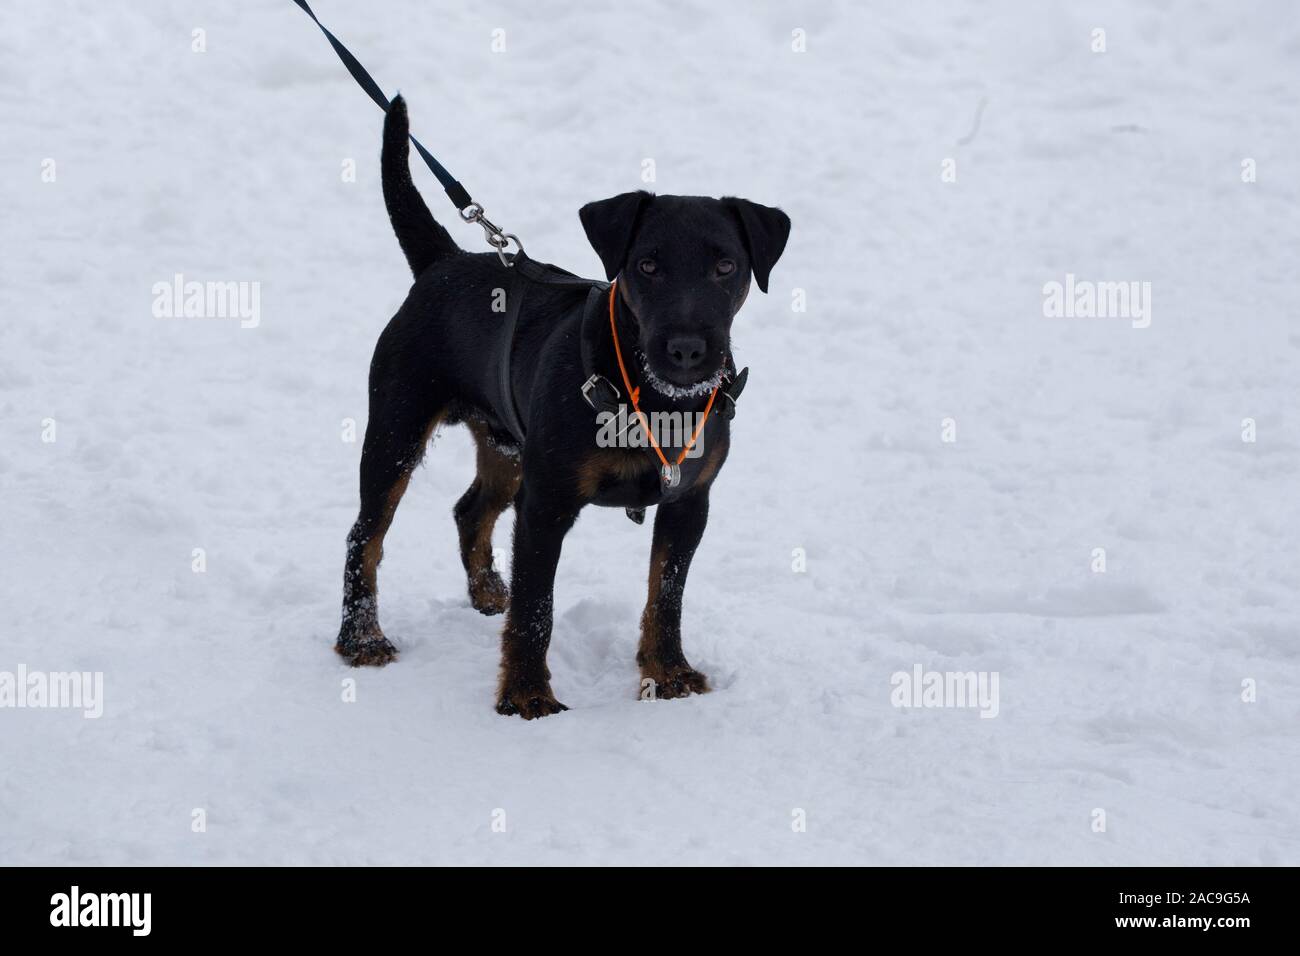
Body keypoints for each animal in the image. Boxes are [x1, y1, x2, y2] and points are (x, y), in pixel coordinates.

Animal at [338, 97, 790, 723]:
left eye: (726, 267)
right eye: (647, 266)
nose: (686, 350)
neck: (651, 396)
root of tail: (443, 261)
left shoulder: (688, 502)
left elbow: (666, 595)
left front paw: (667, 673)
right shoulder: (546, 505)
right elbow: (536, 607)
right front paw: (527, 694)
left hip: (507, 443)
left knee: (470, 508)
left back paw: (486, 591)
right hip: (397, 428)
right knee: (366, 535)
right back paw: (362, 638)